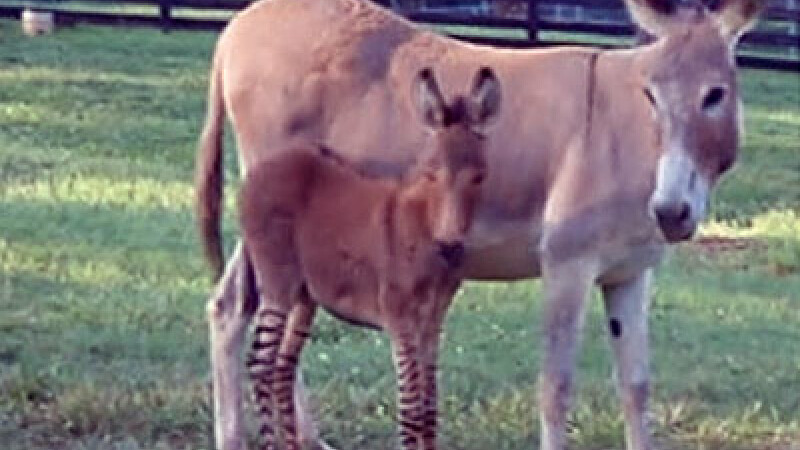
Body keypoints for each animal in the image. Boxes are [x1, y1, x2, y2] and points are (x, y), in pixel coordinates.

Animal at [236, 67, 500, 450]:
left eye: (480, 177)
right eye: (431, 174)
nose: (451, 248)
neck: (424, 225)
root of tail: (267, 164)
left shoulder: (433, 319)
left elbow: (429, 407)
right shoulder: (399, 317)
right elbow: (411, 408)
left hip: (305, 293)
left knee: (283, 366)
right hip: (277, 280)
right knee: (261, 363)